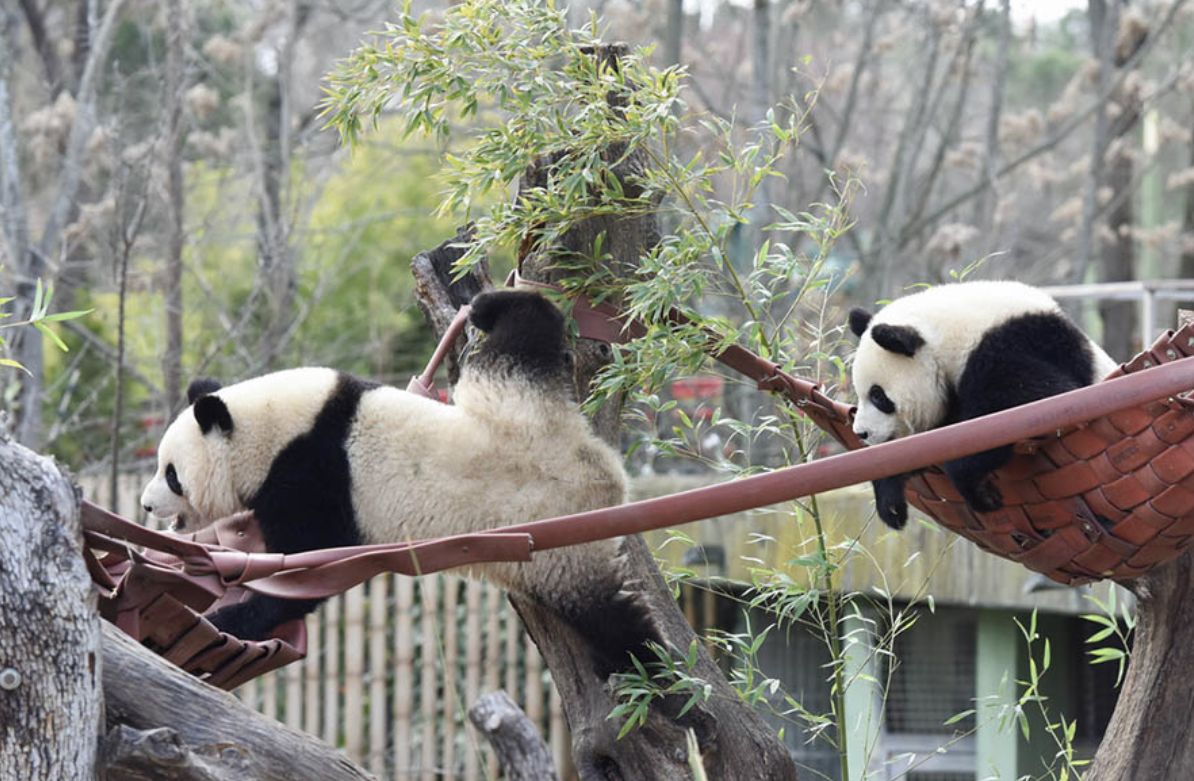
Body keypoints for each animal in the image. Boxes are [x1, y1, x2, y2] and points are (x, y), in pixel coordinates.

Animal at [143, 290, 659, 678]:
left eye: (171, 474)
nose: (146, 506)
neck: (278, 429)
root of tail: (604, 475)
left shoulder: (314, 474)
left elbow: (305, 566)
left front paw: (228, 617)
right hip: (513, 400)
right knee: (526, 336)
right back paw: (492, 305)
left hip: (561, 548)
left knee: (612, 621)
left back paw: (660, 682)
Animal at [850, 281, 1117, 532]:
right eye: (859, 393)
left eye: (878, 396)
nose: (861, 433)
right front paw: (891, 503)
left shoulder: (1013, 346)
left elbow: (1038, 404)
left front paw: (981, 494)